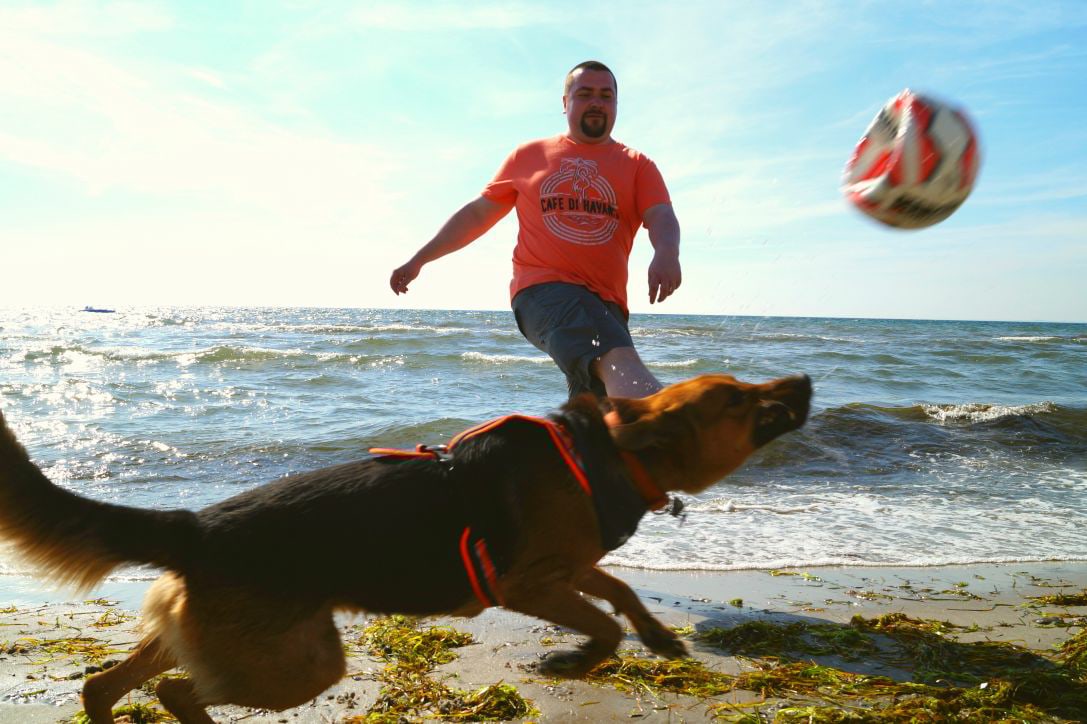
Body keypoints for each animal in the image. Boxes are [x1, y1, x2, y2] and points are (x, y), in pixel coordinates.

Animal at [0, 373, 810, 722]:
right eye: (735, 398)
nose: (802, 378)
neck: (606, 453)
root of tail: (194, 526)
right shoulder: (527, 584)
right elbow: (603, 619)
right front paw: (574, 660)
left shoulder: (567, 567)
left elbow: (620, 590)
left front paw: (657, 635)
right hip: (300, 663)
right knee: (172, 693)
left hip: (211, 640)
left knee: (104, 686)